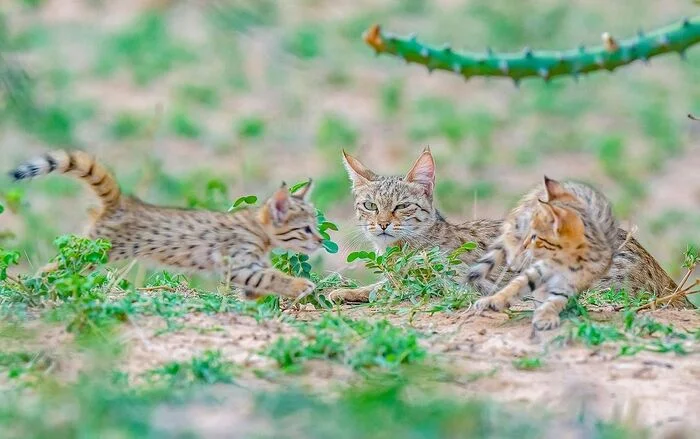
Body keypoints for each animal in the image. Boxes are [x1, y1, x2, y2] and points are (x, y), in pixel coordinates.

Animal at [10, 150, 322, 300]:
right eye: (306, 229)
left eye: (316, 226)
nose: (320, 241)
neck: (257, 229)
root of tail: (124, 201)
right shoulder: (239, 264)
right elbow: (271, 277)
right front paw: (299, 286)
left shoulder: (247, 266)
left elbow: (260, 285)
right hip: (95, 253)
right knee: (50, 269)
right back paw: (29, 286)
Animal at [330, 148, 684, 306]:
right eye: (370, 206)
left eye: (402, 206)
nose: (382, 224)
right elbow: (383, 282)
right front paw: (347, 290)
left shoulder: (452, 281)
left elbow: (395, 286)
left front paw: (350, 291)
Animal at [468, 176, 616, 330]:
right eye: (531, 234)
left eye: (535, 236)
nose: (524, 245)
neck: (565, 259)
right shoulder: (540, 269)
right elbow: (515, 286)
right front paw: (492, 300)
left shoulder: (571, 281)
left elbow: (556, 299)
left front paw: (546, 314)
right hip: (520, 221)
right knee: (508, 231)